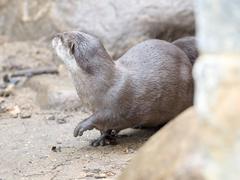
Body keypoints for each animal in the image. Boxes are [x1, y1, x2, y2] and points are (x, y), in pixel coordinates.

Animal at [51, 31, 194, 146]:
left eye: (62, 37)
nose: (54, 35)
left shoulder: (117, 101)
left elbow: (105, 117)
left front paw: (83, 124)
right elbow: (105, 128)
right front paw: (101, 139)